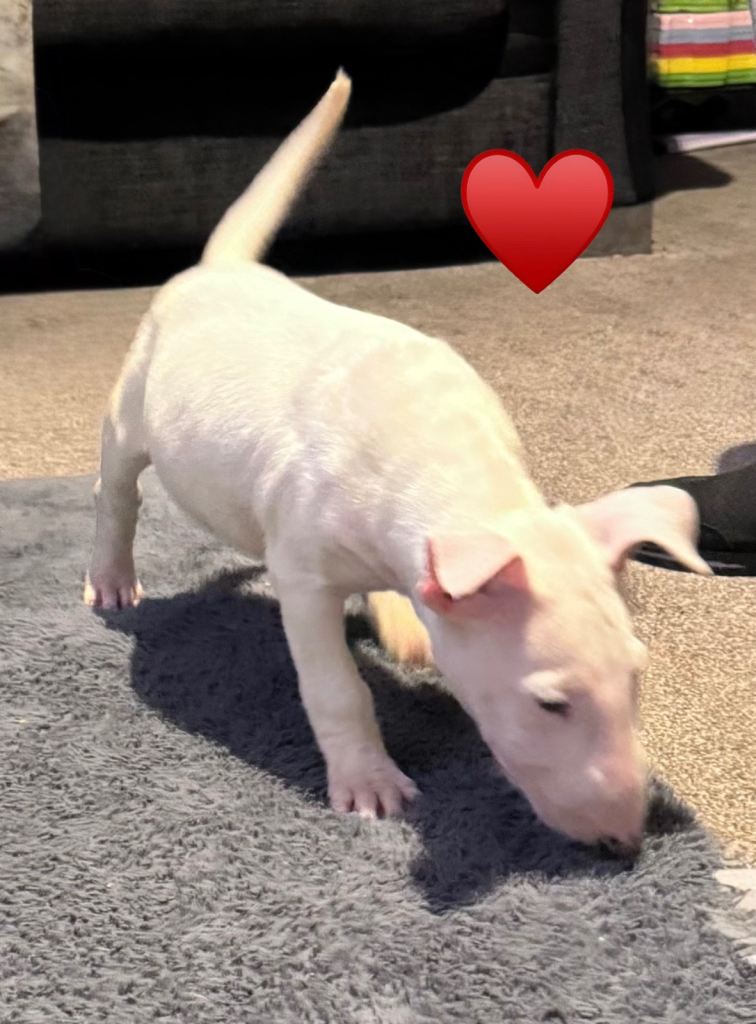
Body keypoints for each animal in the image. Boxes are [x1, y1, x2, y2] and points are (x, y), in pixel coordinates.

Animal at [85, 71, 710, 854]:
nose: (625, 843)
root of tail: (222, 269)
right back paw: (112, 578)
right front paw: (369, 784)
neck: (451, 466)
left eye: (636, 673)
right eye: (550, 703)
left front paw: (408, 618)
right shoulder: (303, 576)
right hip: (134, 407)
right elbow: (336, 687)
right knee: (117, 490)